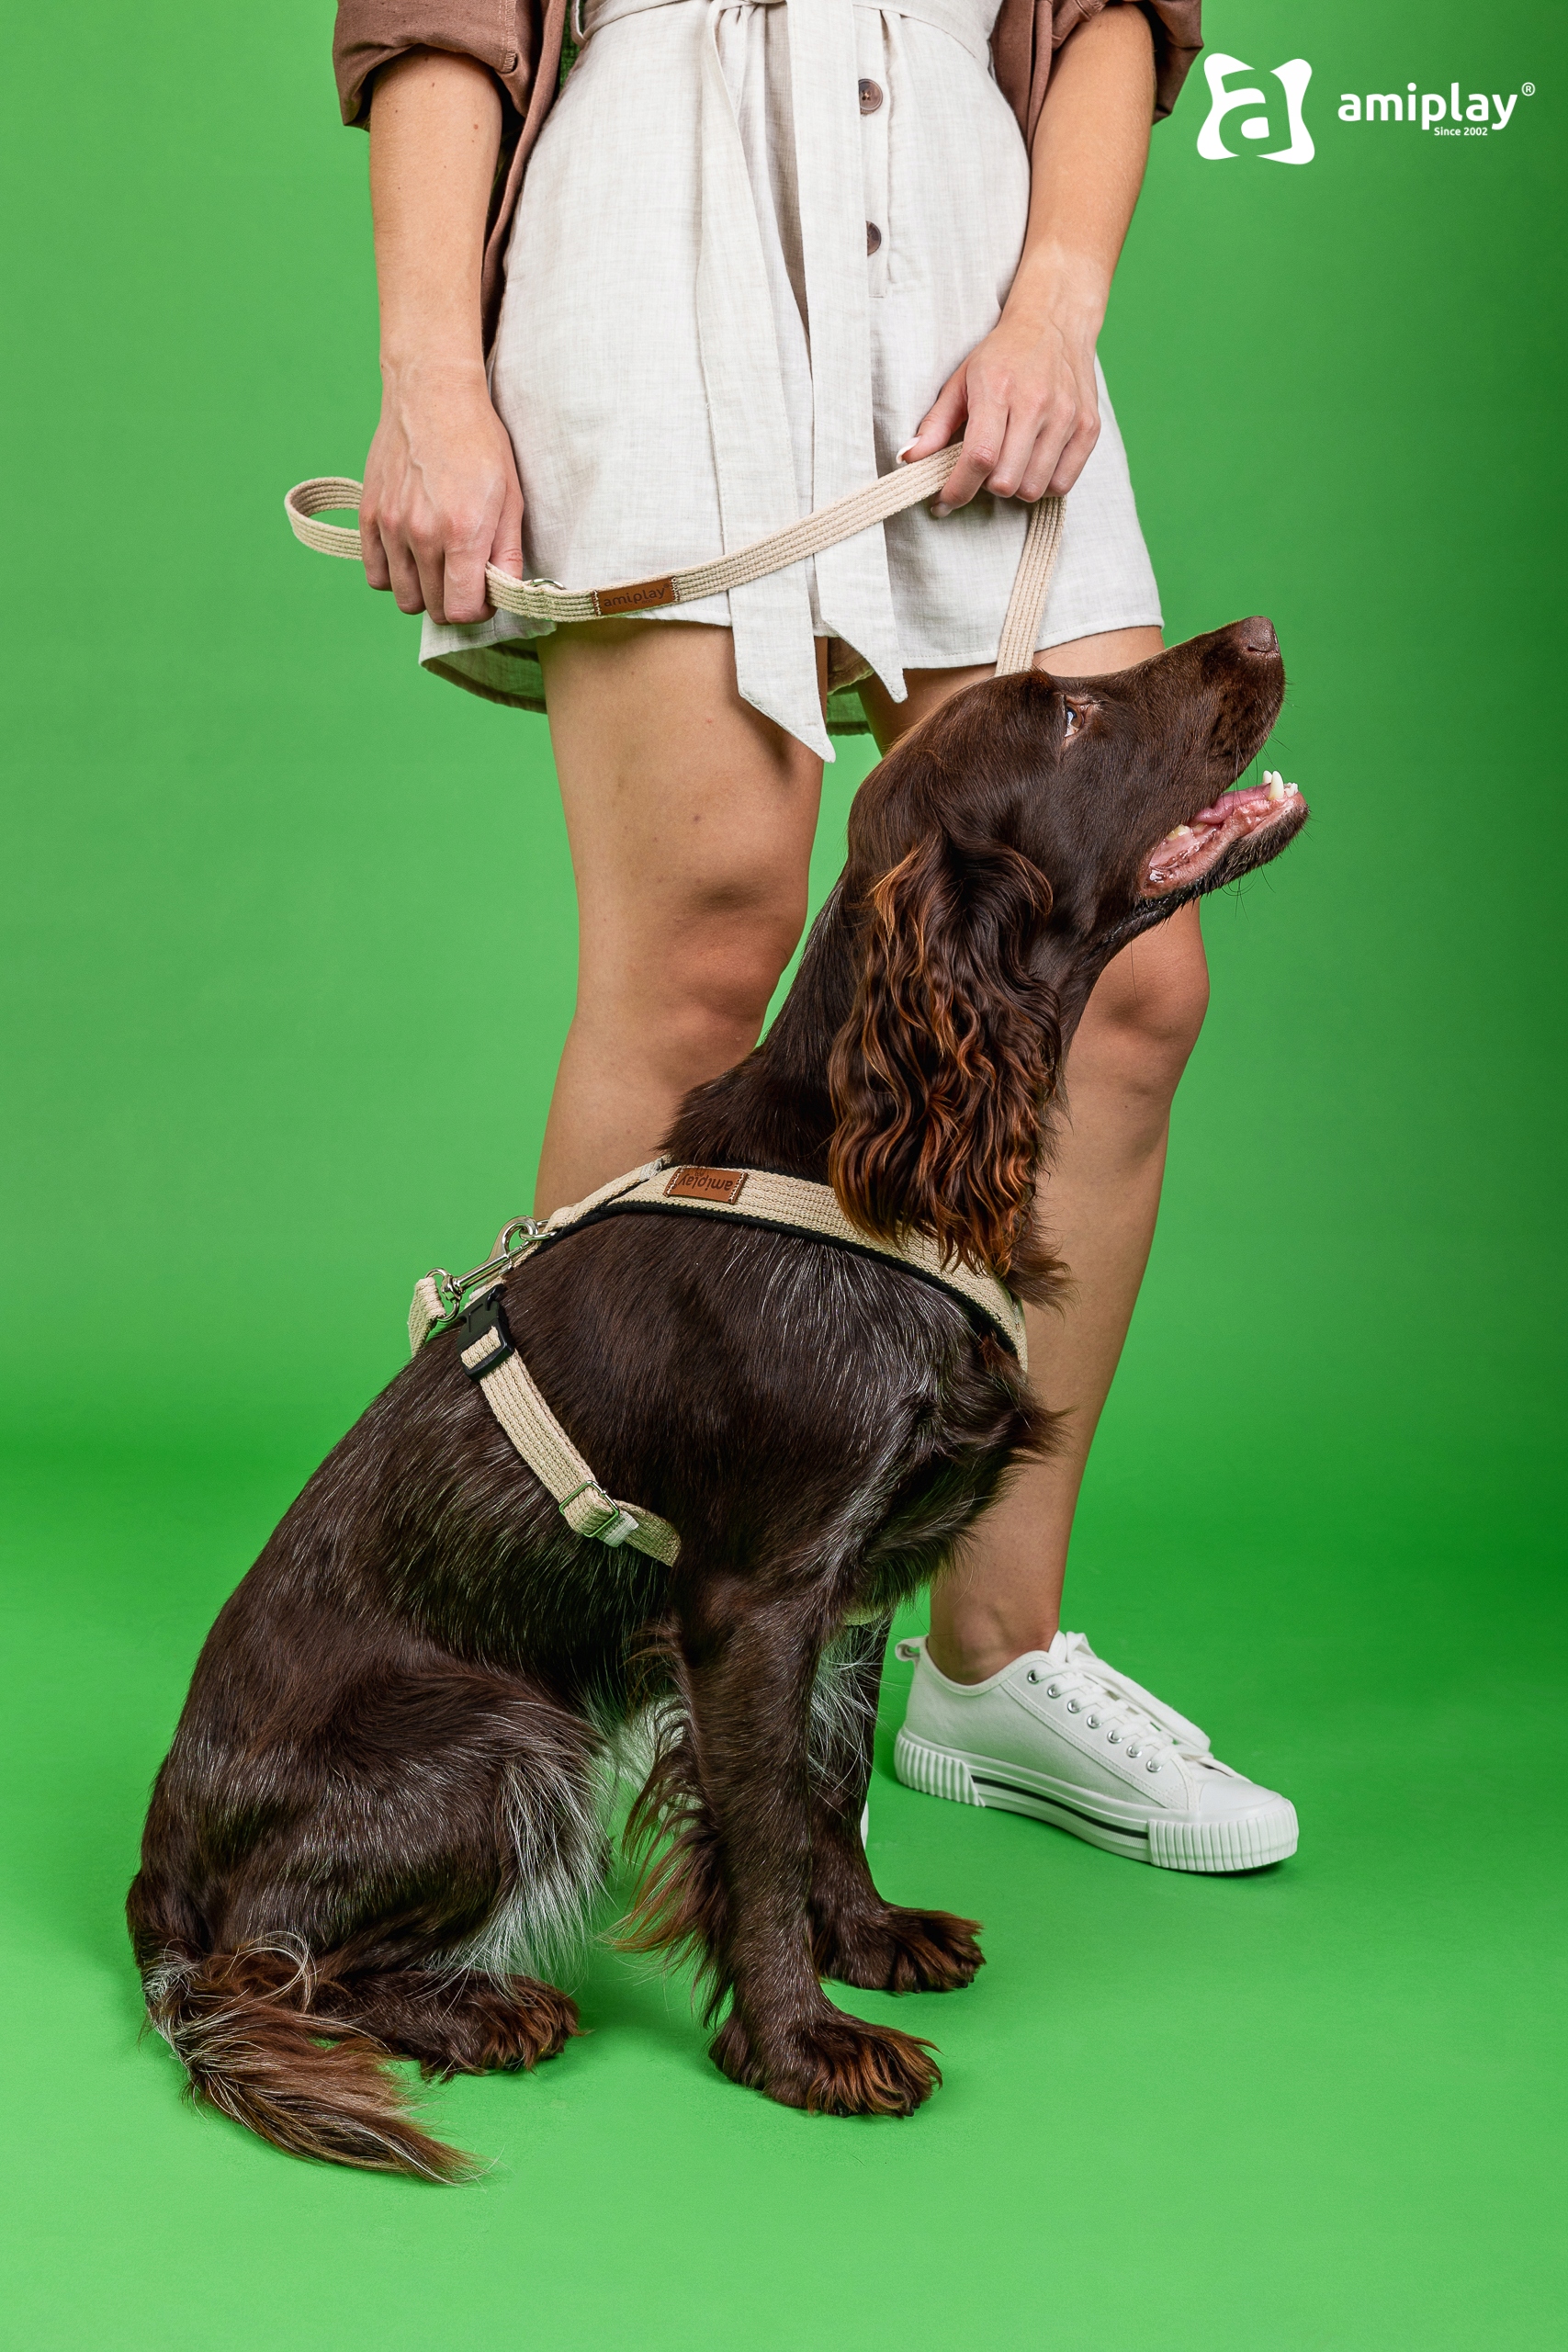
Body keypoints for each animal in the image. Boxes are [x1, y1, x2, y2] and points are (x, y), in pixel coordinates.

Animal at [128, 620, 1302, 2178]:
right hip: (506, 1736)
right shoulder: (749, 1598)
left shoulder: (853, 1580)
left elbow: (827, 1786)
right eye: (1060, 714)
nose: (1256, 635)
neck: (869, 1167)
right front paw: (799, 2047)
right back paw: (478, 2010)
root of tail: (154, 1872)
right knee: (266, 1959)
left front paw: (864, 1937)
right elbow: (755, 1829)